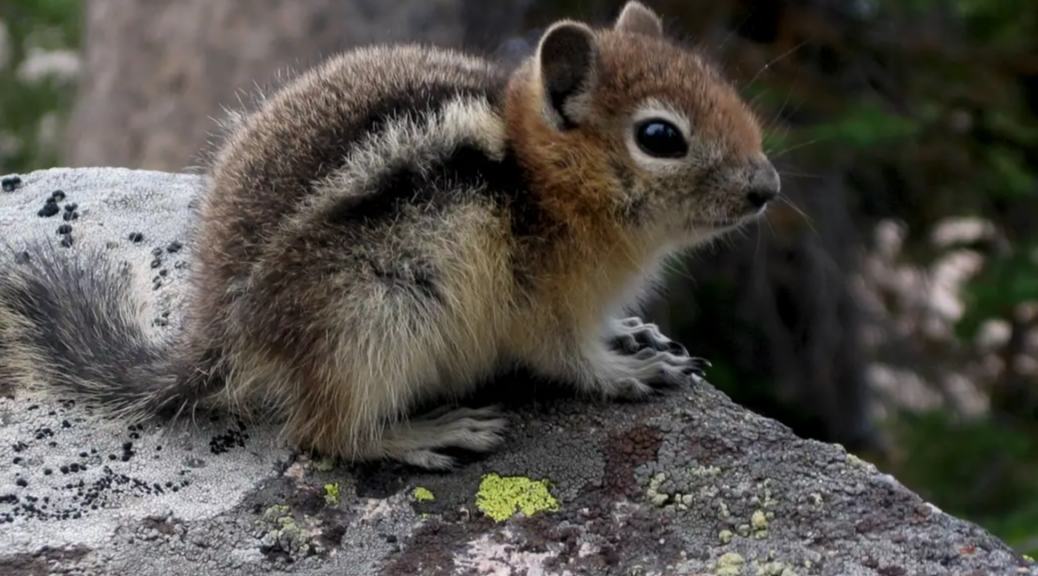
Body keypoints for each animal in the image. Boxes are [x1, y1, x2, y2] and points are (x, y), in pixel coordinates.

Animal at [0, 2, 780, 471]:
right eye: (661, 137)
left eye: (723, 86)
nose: (768, 187)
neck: (538, 181)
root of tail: (217, 337)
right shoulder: (544, 306)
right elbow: (570, 361)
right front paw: (627, 372)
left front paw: (637, 333)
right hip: (372, 322)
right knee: (324, 434)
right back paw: (429, 434)